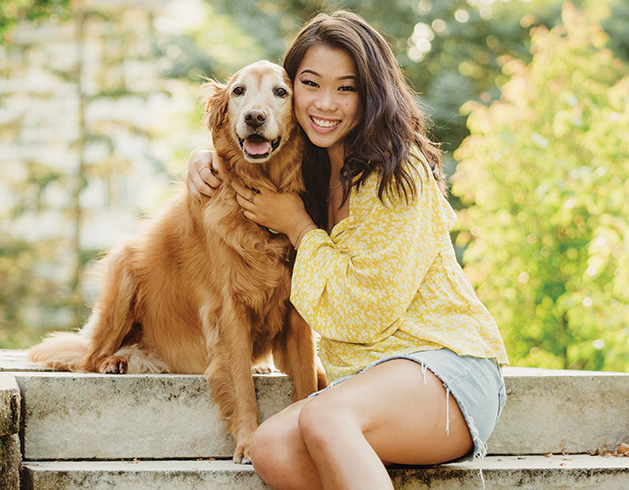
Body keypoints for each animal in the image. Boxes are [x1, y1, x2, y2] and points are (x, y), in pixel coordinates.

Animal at [27, 60, 326, 464]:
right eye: (238, 91)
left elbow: (308, 377)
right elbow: (241, 386)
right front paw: (249, 442)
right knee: (88, 355)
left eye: (282, 92)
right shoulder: (228, 312)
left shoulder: (295, 313)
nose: (254, 117)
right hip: (124, 268)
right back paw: (112, 361)